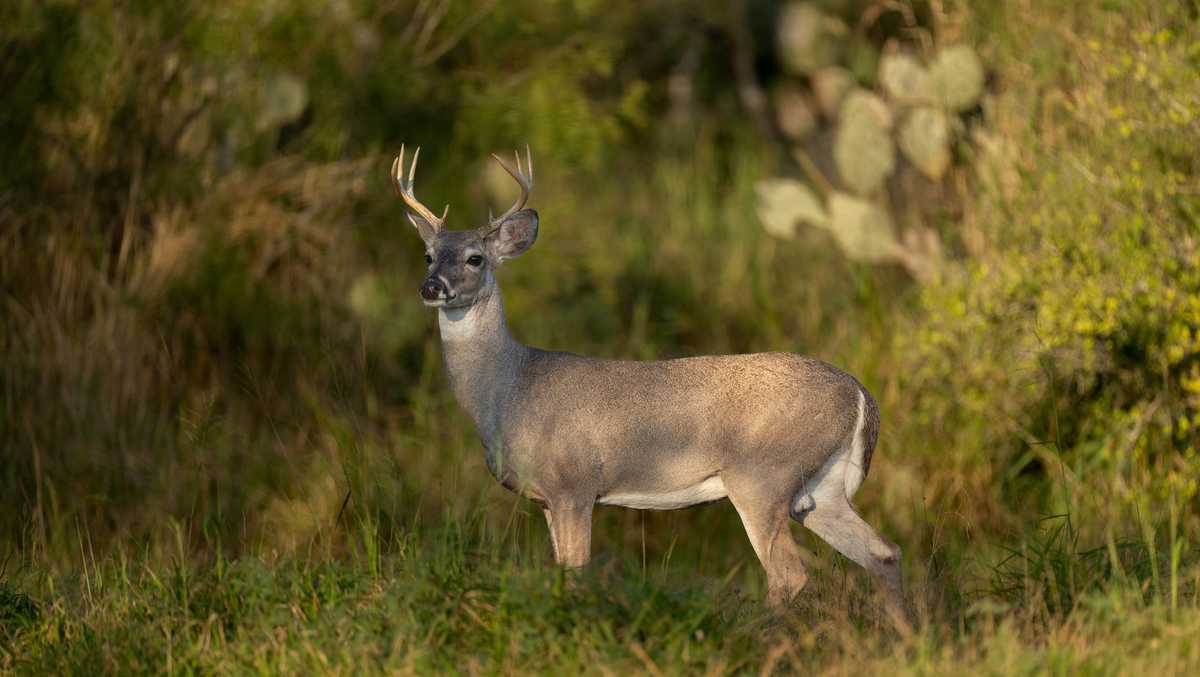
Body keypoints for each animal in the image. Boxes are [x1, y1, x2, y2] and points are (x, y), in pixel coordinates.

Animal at [393, 147, 907, 624]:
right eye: (428, 255)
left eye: (475, 258)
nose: (431, 287)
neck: (510, 388)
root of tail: (860, 394)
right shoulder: (548, 498)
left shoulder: (575, 483)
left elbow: (576, 574)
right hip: (819, 490)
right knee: (884, 553)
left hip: (764, 476)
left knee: (790, 574)